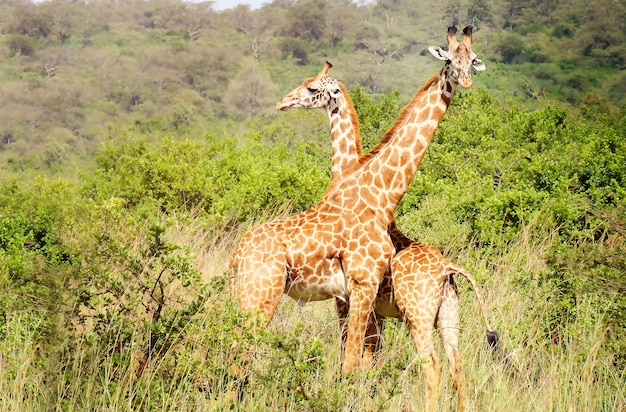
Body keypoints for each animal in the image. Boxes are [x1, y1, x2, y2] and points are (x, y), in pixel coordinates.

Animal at [272, 60, 498, 408]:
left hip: (418, 316)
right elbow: (371, 359)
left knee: (431, 364)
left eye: (311, 88)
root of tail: (448, 268)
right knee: (457, 367)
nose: (283, 102)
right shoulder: (374, 311)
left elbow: (354, 355)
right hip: (449, 316)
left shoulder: (348, 301)